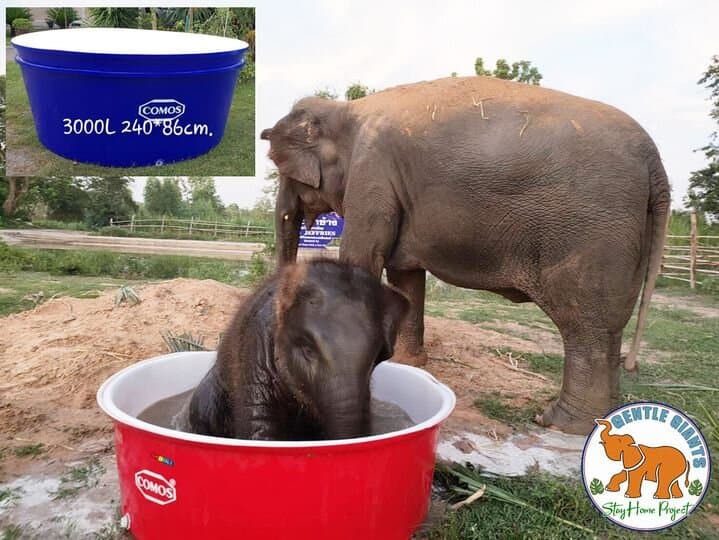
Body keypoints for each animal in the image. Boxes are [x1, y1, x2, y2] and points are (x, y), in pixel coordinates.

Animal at [261, 76, 671, 435]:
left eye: (286, 173)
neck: (347, 110)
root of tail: (656, 164)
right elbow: (405, 276)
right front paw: (408, 364)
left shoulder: (371, 176)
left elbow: (364, 259)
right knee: (608, 327)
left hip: (592, 234)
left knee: (585, 324)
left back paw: (557, 423)